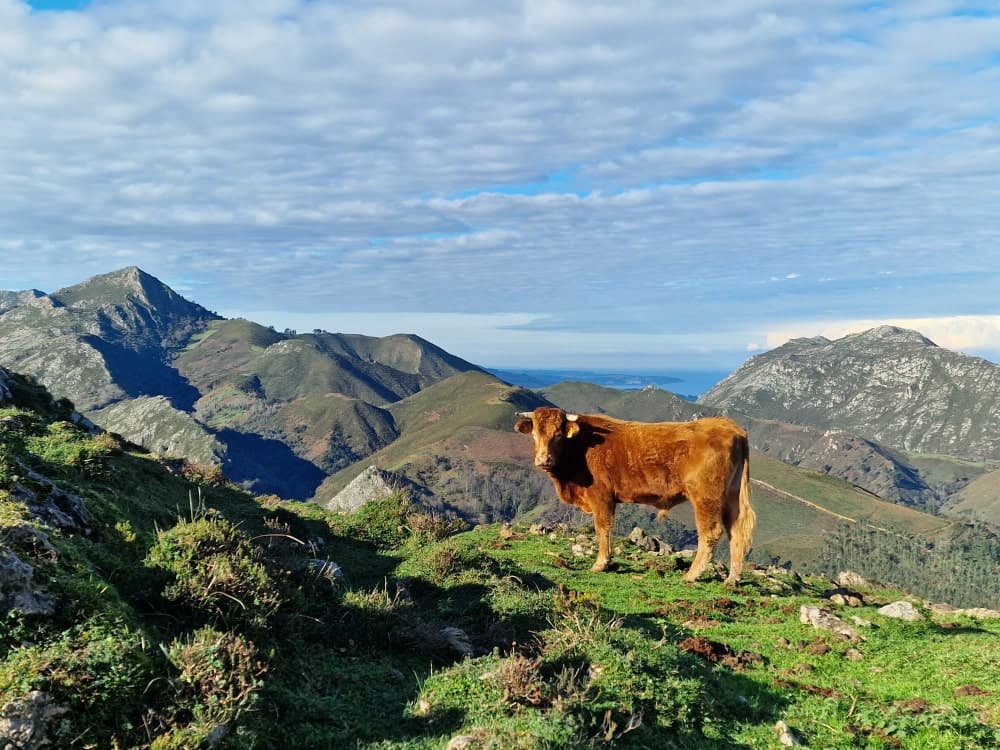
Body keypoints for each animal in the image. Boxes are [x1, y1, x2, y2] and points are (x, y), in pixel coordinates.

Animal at [516, 408, 756, 584]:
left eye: (558, 435)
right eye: (535, 434)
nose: (543, 459)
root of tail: (730, 427)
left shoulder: (601, 496)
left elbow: (603, 528)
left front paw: (601, 563)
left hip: (706, 497)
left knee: (710, 532)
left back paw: (691, 574)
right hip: (732, 497)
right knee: (736, 532)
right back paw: (732, 579)